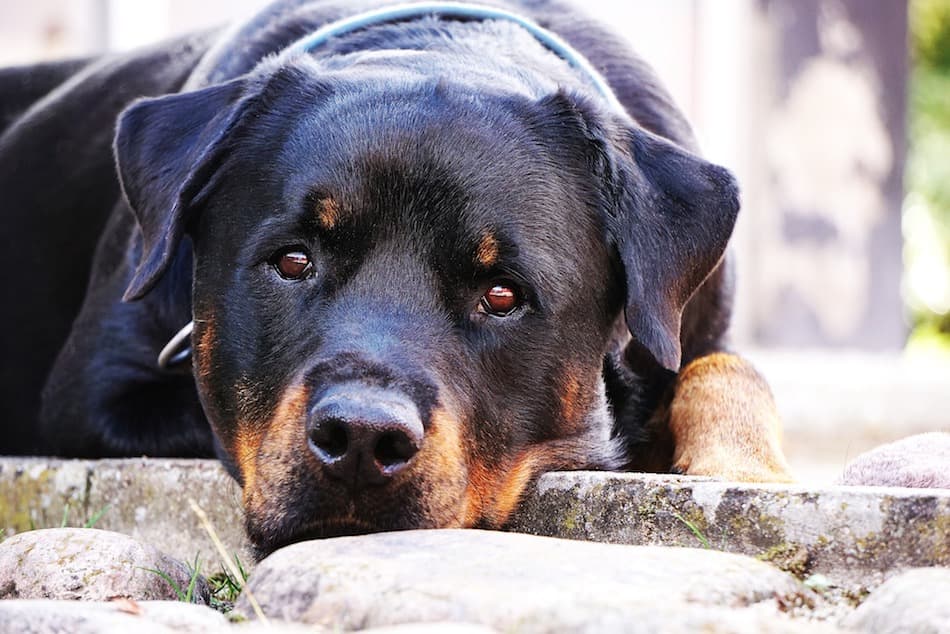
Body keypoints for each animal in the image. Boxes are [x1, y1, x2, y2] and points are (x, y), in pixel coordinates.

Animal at [0, 0, 796, 552]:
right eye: (293, 261)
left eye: (502, 294)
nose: (360, 438)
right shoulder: (99, 394)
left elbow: (729, 370)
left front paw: (745, 467)